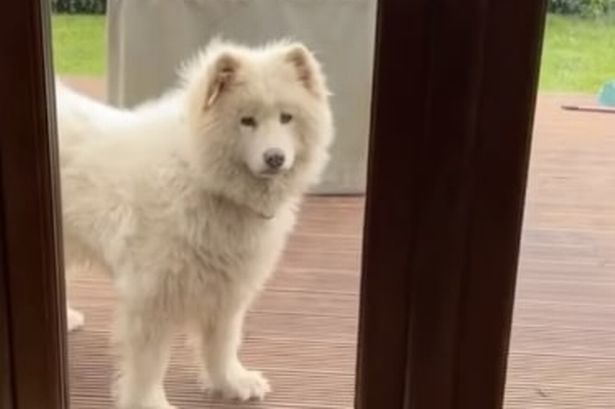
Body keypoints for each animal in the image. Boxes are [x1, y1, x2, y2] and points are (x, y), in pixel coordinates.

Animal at [57, 39, 334, 408]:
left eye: (286, 118)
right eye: (247, 121)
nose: (275, 158)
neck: (198, 174)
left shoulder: (228, 287)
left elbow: (223, 344)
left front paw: (232, 382)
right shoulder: (151, 296)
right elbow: (150, 363)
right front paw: (148, 403)